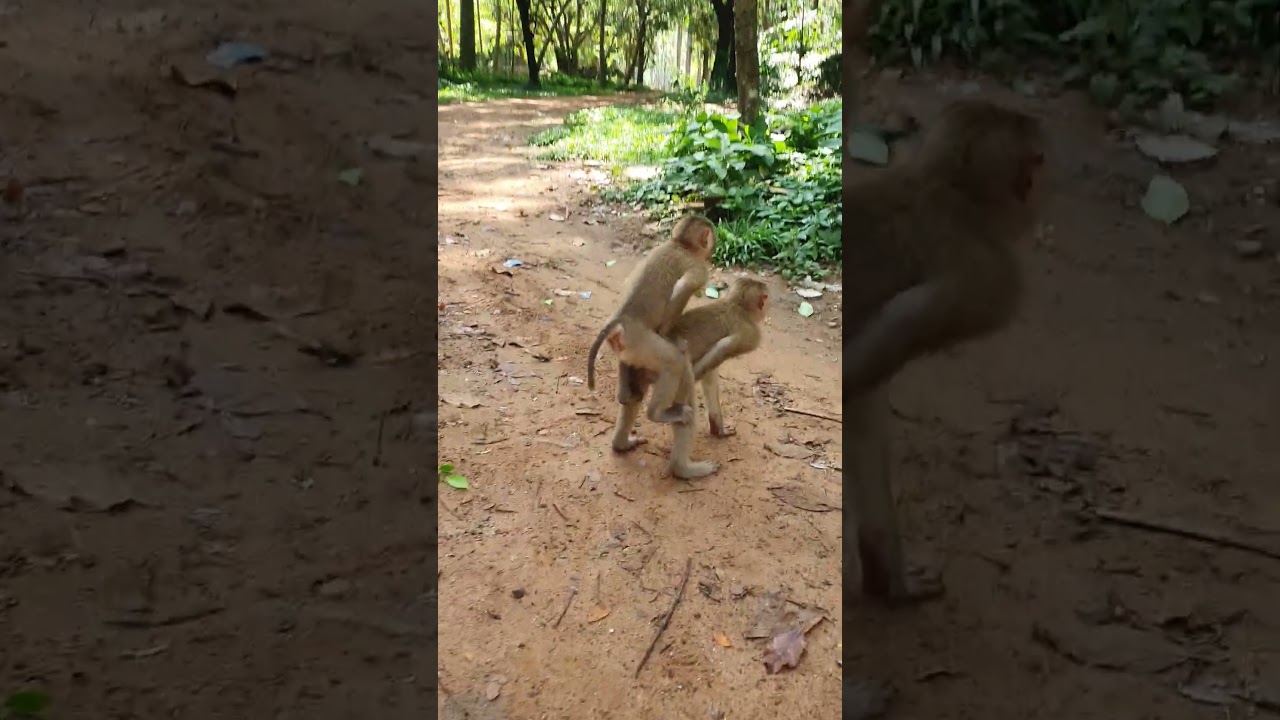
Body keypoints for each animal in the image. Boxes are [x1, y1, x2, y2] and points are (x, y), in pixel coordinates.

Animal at [586, 215, 716, 427]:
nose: (713, 243)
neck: (680, 245)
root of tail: (620, 318)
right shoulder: (699, 268)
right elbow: (683, 287)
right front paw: (668, 335)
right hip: (641, 343)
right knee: (672, 363)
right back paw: (658, 414)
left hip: (627, 344)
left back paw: (624, 392)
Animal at [607, 278, 768, 478]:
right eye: (765, 298)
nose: (766, 308)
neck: (736, 305)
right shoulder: (752, 336)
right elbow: (721, 349)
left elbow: (710, 376)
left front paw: (719, 429)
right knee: (685, 394)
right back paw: (682, 468)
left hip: (639, 364)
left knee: (634, 397)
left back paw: (621, 444)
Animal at [843, 99, 1047, 605]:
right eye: (1035, 165)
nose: (1038, 202)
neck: (944, 186)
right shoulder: (995, 281)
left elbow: (861, 413)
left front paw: (888, 580)